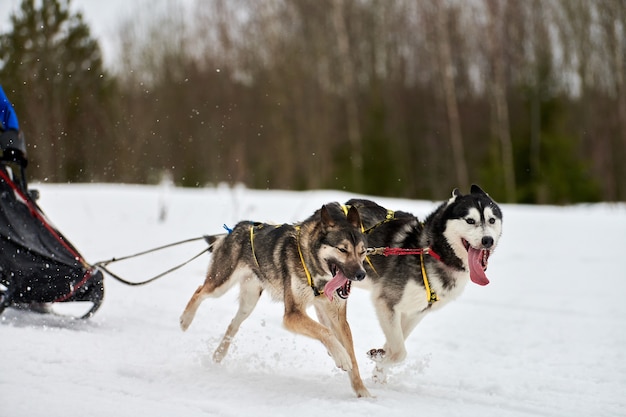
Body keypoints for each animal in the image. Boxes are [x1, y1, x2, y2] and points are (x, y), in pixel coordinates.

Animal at [177, 204, 370, 396]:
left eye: (362, 252)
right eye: (343, 249)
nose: (361, 274)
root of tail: (235, 228)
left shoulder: (338, 318)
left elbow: (351, 354)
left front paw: (362, 391)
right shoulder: (292, 315)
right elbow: (325, 332)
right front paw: (341, 356)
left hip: (249, 300)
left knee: (233, 324)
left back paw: (219, 354)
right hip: (221, 284)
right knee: (199, 291)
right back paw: (186, 320)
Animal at [346, 185, 502, 376]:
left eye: (492, 220)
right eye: (470, 221)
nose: (488, 240)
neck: (433, 251)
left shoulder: (415, 312)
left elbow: (394, 344)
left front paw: (380, 369)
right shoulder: (386, 302)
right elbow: (400, 352)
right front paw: (381, 359)